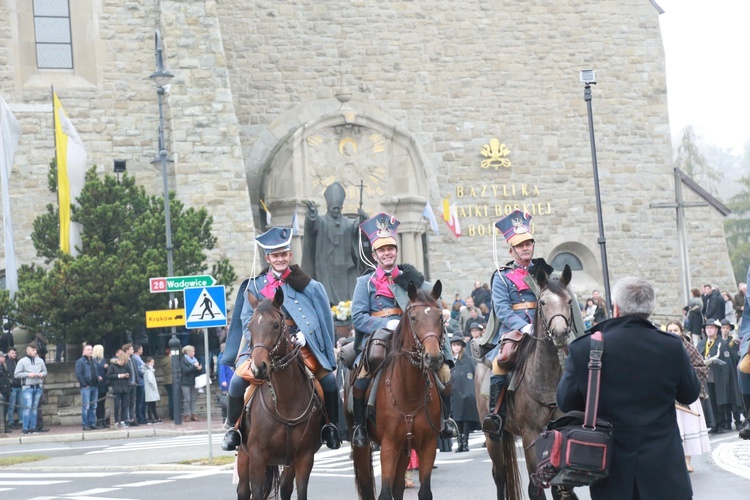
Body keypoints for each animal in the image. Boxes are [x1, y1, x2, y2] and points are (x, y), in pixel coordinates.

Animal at [238, 288, 326, 500]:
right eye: (250, 326)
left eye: (276, 325)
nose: (258, 368)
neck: (286, 401)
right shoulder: (257, 457)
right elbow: (257, 492)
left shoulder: (304, 458)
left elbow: (300, 491)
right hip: (244, 456)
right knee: (243, 491)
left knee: (285, 488)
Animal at [352, 282, 450, 500]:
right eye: (413, 318)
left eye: (440, 317)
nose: (434, 358)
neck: (409, 392)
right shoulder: (389, 445)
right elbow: (385, 493)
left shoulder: (427, 445)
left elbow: (424, 492)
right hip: (365, 447)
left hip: (406, 448)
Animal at [482, 266, 580, 500]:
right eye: (542, 302)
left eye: (569, 301)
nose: (559, 333)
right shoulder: (530, 435)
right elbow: (535, 488)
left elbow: (560, 487)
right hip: (492, 437)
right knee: (499, 476)